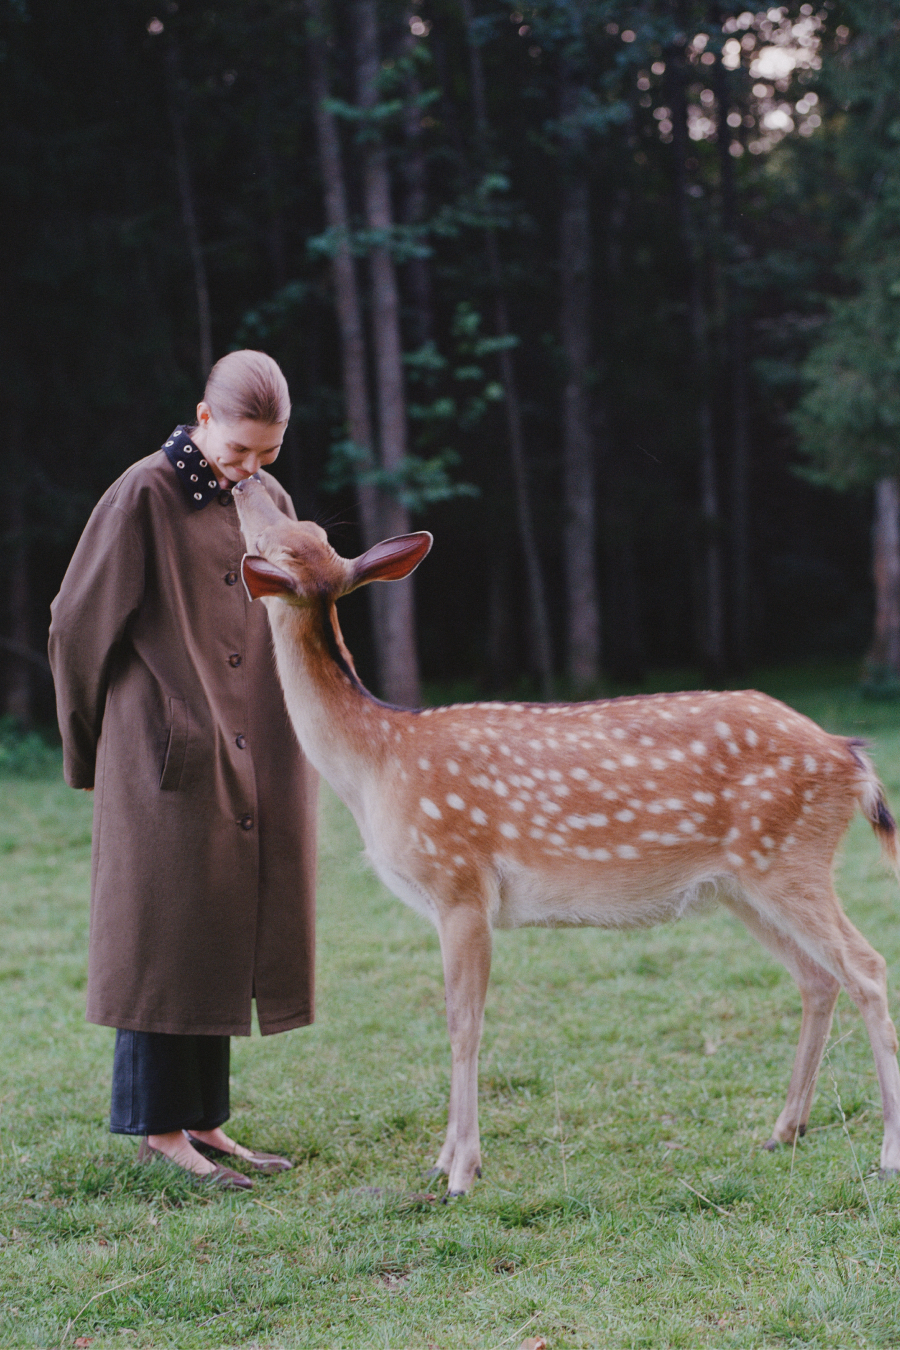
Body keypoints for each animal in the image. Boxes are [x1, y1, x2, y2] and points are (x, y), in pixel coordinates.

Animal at [234, 480, 900, 1198]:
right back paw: (783, 1130)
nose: (246, 481)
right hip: (743, 884)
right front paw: (442, 1159)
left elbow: (463, 1026)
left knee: (866, 967)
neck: (375, 765)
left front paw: (461, 1172)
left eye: (284, 539)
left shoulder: (459, 883)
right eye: (304, 532)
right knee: (818, 977)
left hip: (789, 859)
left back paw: (887, 1151)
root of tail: (851, 758)